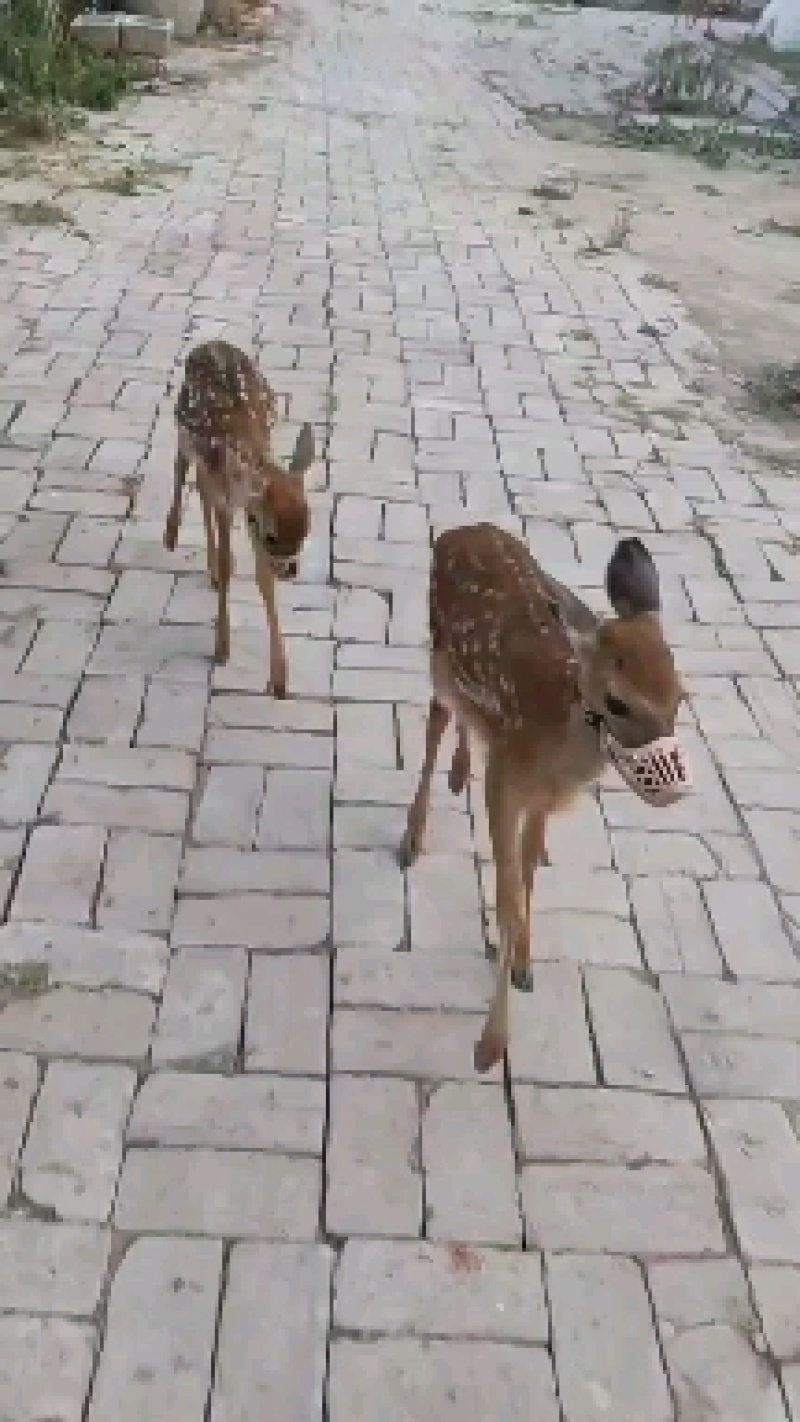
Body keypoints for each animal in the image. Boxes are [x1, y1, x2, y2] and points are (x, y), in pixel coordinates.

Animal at [163, 339, 315, 698]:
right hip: (183, 423)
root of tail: (208, 344)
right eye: (273, 535)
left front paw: (279, 678)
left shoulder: (246, 512)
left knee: (199, 484)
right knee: (180, 464)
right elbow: (229, 564)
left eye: (306, 531)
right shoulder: (233, 505)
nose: (291, 570)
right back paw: (171, 534)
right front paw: (221, 649)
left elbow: (264, 582)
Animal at [400, 524, 692, 1074]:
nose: (675, 792)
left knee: (466, 723)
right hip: (439, 656)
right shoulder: (504, 783)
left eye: (680, 697)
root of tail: (456, 531)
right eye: (618, 702)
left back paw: (458, 771)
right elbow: (508, 898)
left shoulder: (542, 799)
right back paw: (412, 838)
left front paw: (524, 965)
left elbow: (531, 869)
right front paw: (490, 1046)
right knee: (435, 722)